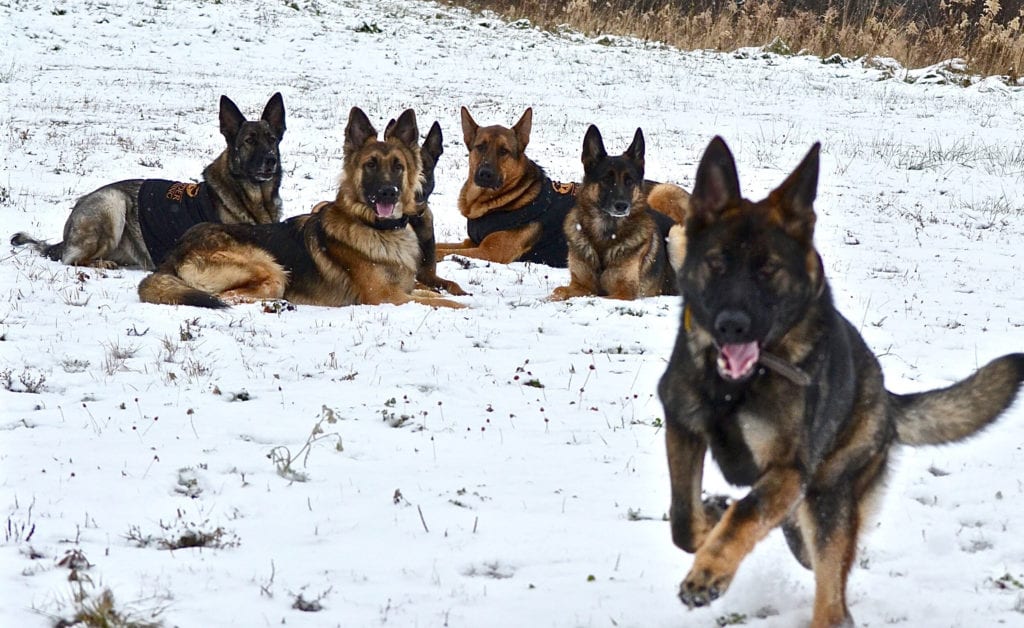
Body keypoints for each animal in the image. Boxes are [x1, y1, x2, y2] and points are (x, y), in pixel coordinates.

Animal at [9, 93, 286, 268]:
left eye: (272, 139)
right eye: (249, 141)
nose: (271, 160)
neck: (251, 196)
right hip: (112, 204)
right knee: (72, 260)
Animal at [135, 109, 460, 311]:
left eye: (398, 166)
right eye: (370, 165)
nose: (388, 193)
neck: (375, 227)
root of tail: (175, 251)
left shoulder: (406, 289)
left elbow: (431, 291)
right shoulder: (386, 297)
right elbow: (440, 302)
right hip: (270, 269)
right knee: (224, 296)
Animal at [436, 106, 692, 266]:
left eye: (504, 151)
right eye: (480, 146)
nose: (485, 174)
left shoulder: (489, 252)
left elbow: (441, 252)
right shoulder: (471, 242)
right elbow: (440, 245)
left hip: (662, 192)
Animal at [552, 124, 679, 301]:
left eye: (629, 181)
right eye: (606, 179)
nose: (622, 206)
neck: (606, 231)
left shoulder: (624, 292)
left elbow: (597, 296)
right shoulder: (580, 285)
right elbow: (558, 291)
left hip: (675, 233)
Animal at [659, 137, 1019, 626]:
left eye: (768, 269)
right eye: (716, 263)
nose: (731, 325)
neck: (737, 387)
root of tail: (885, 397)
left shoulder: (789, 470)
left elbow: (747, 513)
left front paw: (710, 573)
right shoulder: (683, 426)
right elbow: (683, 522)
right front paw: (709, 522)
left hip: (828, 497)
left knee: (832, 596)